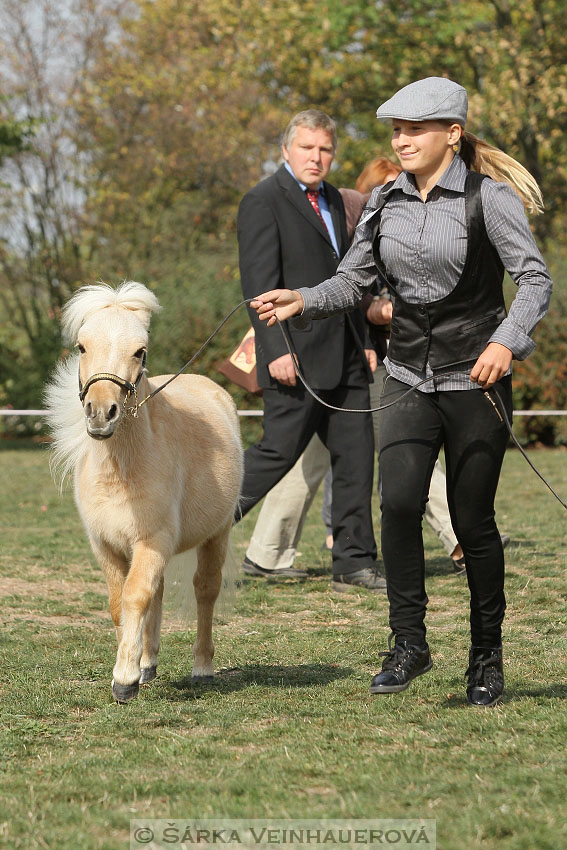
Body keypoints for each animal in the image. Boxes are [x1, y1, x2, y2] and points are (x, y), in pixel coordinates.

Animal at [46, 282, 244, 700]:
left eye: (140, 351)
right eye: (82, 346)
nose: (101, 413)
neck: (122, 469)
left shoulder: (152, 540)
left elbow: (136, 596)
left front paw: (124, 679)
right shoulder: (106, 545)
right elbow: (119, 603)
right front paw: (136, 667)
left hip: (216, 534)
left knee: (205, 591)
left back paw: (202, 667)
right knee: (161, 592)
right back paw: (149, 664)